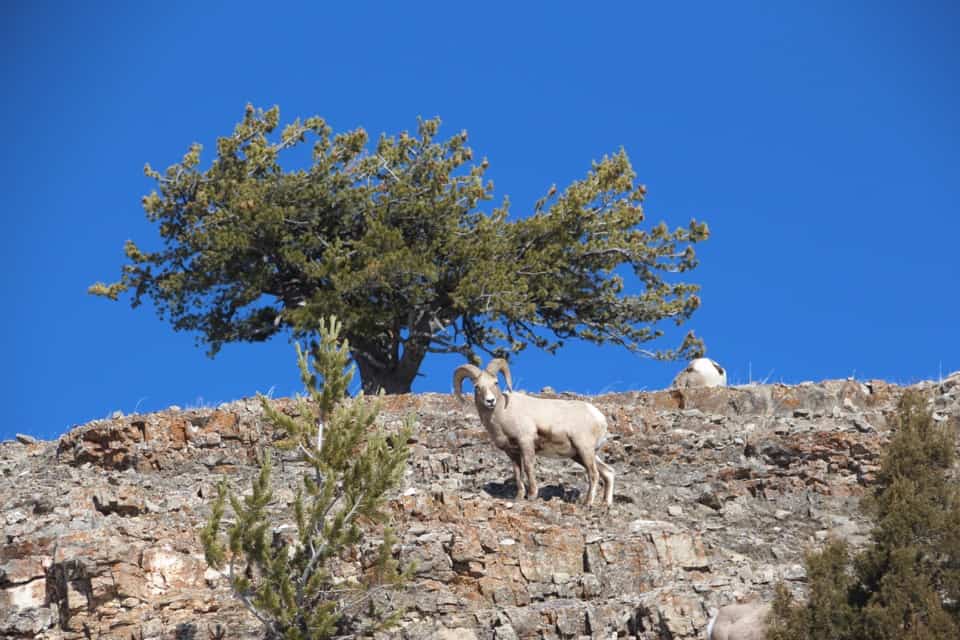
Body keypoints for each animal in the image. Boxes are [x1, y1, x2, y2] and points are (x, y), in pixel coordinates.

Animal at [452, 360, 616, 504]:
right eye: (477, 387)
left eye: (495, 383)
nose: (490, 401)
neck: (502, 415)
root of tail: (599, 417)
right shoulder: (512, 453)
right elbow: (518, 473)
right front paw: (519, 497)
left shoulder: (526, 443)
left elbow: (528, 467)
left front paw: (532, 495)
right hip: (580, 454)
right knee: (608, 472)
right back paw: (605, 504)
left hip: (584, 449)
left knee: (594, 474)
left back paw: (587, 503)